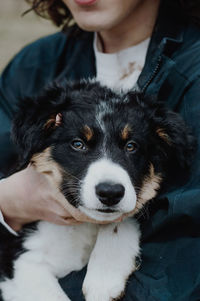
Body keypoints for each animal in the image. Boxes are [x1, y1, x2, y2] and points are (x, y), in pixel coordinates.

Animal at [0, 80, 195, 300]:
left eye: (131, 146)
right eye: (78, 144)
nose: (110, 193)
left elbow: (121, 219)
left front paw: (104, 278)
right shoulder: (21, 261)